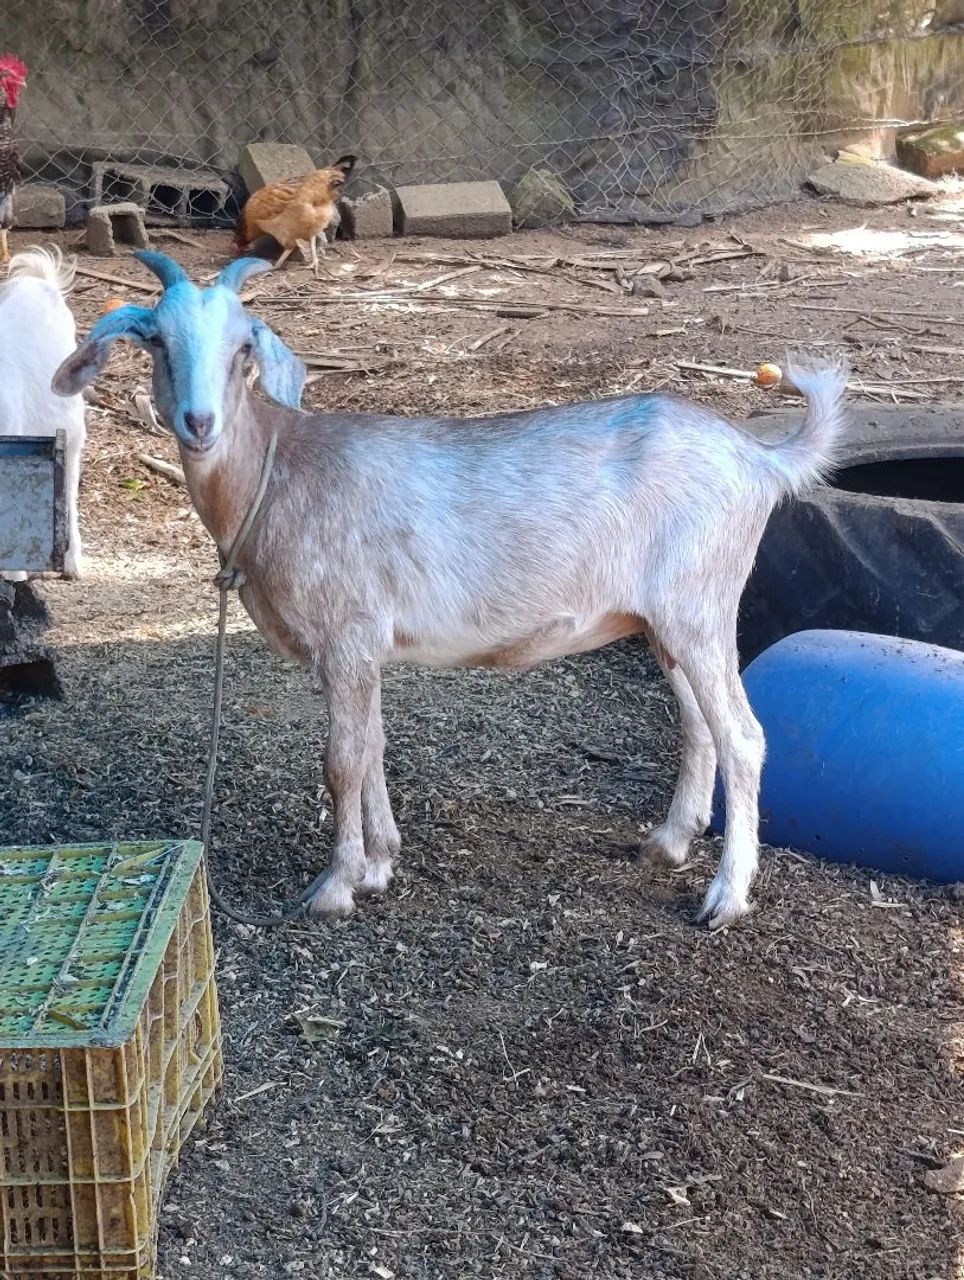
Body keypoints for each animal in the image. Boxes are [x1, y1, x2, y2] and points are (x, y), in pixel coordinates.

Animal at [53, 251, 848, 929]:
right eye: (156, 340)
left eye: (244, 347)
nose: (198, 423)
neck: (275, 477)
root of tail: (761, 459)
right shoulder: (359, 650)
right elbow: (372, 746)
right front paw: (380, 864)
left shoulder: (347, 635)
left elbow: (341, 761)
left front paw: (334, 887)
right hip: (664, 620)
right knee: (698, 726)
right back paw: (668, 843)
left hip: (699, 605)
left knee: (743, 737)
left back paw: (726, 897)